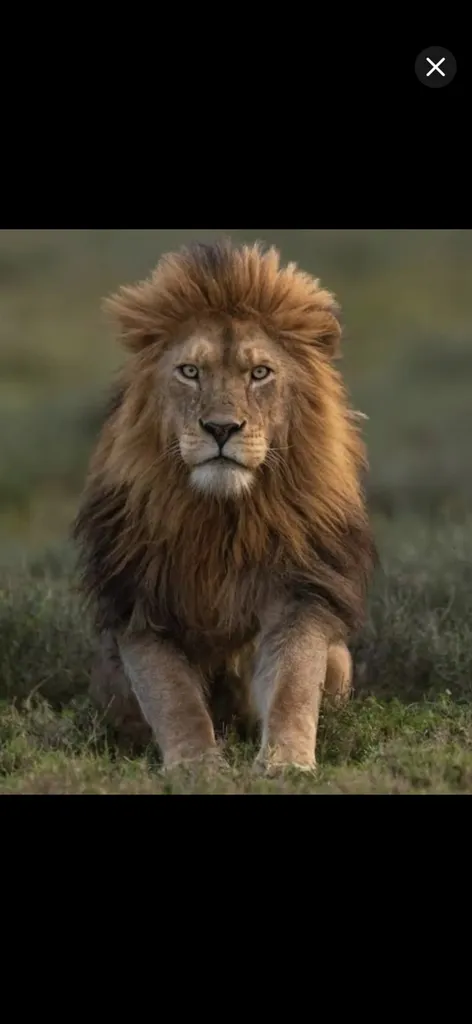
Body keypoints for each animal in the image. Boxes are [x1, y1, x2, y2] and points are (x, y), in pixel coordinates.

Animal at [72, 239, 377, 773]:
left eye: (259, 374)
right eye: (190, 372)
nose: (220, 428)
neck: (222, 517)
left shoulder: (301, 591)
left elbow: (294, 682)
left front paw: (286, 764)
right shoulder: (141, 604)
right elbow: (173, 697)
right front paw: (197, 767)